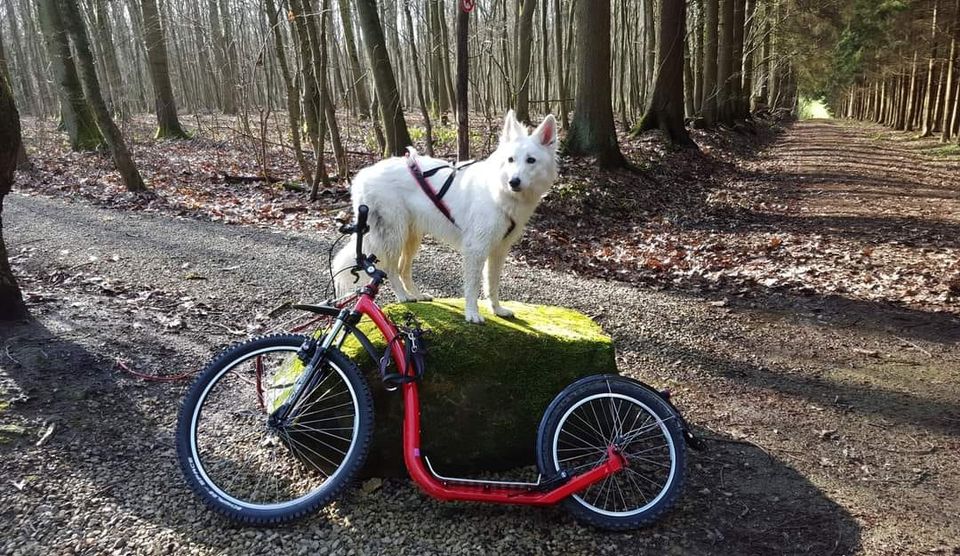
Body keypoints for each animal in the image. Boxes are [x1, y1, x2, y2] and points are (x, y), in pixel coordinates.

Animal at [334, 109, 560, 324]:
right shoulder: (476, 250)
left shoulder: (498, 251)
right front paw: (472, 314)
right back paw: (403, 297)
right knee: (390, 269)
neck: (498, 192)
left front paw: (497, 309)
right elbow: (473, 287)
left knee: (402, 269)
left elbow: (492, 284)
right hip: (394, 236)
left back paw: (417, 295)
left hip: (412, 238)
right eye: (510, 160)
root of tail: (362, 175)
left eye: (531, 160)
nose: (513, 181)